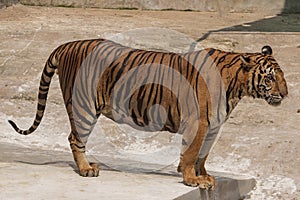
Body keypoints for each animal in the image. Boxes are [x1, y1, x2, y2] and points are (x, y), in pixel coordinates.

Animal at [7, 38, 288, 190]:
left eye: (282, 76)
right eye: (270, 78)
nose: (285, 95)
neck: (237, 88)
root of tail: (68, 44)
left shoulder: (213, 126)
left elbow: (202, 155)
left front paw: (203, 175)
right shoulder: (199, 123)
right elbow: (191, 153)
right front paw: (192, 179)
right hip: (83, 106)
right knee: (75, 139)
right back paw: (87, 169)